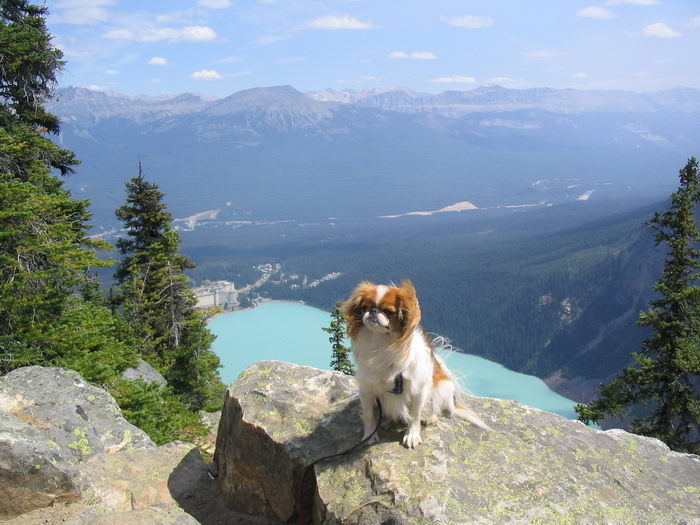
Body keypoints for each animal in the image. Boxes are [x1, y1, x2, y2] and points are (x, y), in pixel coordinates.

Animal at [342, 280, 490, 448]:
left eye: (389, 312)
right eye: (364, 308)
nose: (373, 311)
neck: (382, 342)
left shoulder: (418, 389)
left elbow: (414, 416)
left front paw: (412, 436)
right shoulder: (367, 389)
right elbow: (369, 416)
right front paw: (370, 435)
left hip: (443, 387)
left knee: (436, 408)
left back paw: (429, 418)